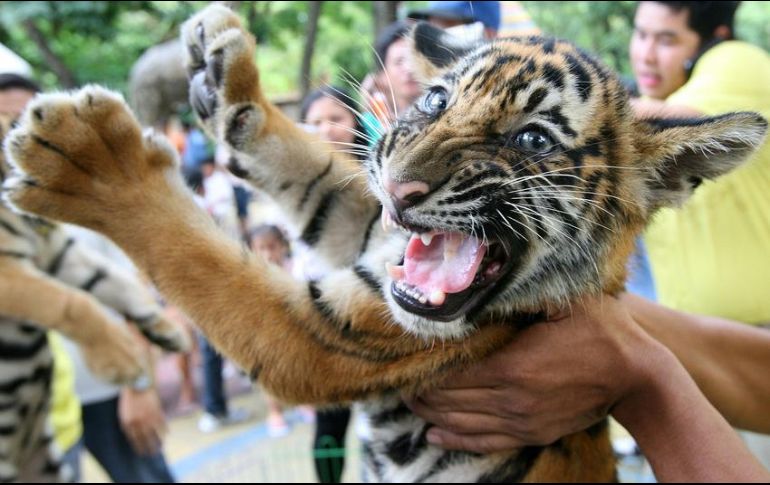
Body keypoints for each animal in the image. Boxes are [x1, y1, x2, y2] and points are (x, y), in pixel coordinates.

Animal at [0, 114, 189, 481]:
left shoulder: (57, 252)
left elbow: (110, 280)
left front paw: (166, 331)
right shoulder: (8, 272)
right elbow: (71, 302)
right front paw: (120, 359)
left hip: (47, 463)